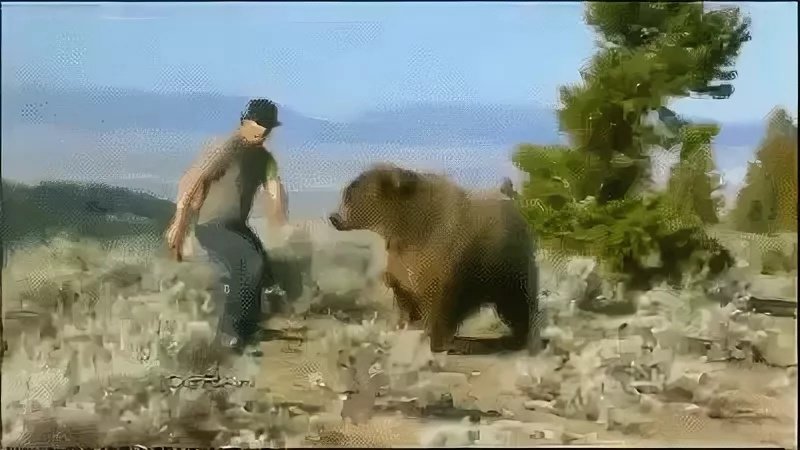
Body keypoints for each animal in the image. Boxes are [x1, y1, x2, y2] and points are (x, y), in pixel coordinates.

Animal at [328, 163, 542, 355]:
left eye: (351, 196)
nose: (334, 217)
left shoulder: (443, 258)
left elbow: (440, 302)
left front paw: (441, 341)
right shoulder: (401, 261)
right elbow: (403, 293)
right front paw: (406, 327)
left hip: (508, 266)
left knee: (517, 303)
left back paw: (514, 339)